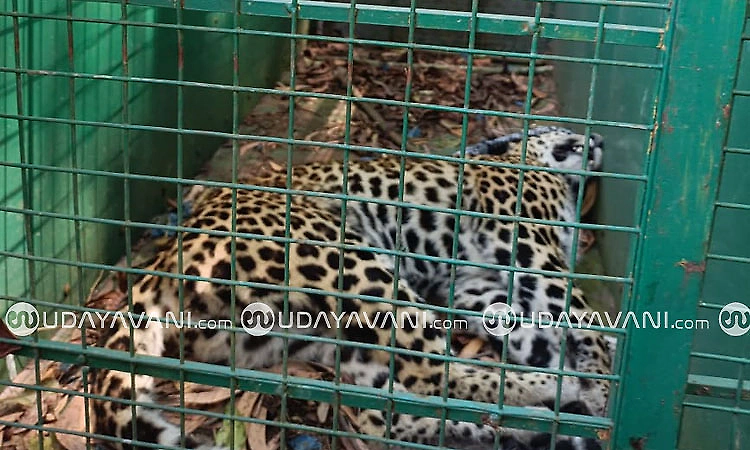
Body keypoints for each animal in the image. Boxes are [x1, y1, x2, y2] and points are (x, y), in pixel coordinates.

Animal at [92, 126, 611, 450]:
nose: (600, 138)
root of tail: (166, 257)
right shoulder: (532, 251)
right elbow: (587, 319)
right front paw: (602, 391)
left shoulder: (474, 287)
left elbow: (533, 331)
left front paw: (581, 380)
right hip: (356, 265)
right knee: (431, 378)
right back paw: (549, 400)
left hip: (314, 335)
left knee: (389, 414)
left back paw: (533, 425)